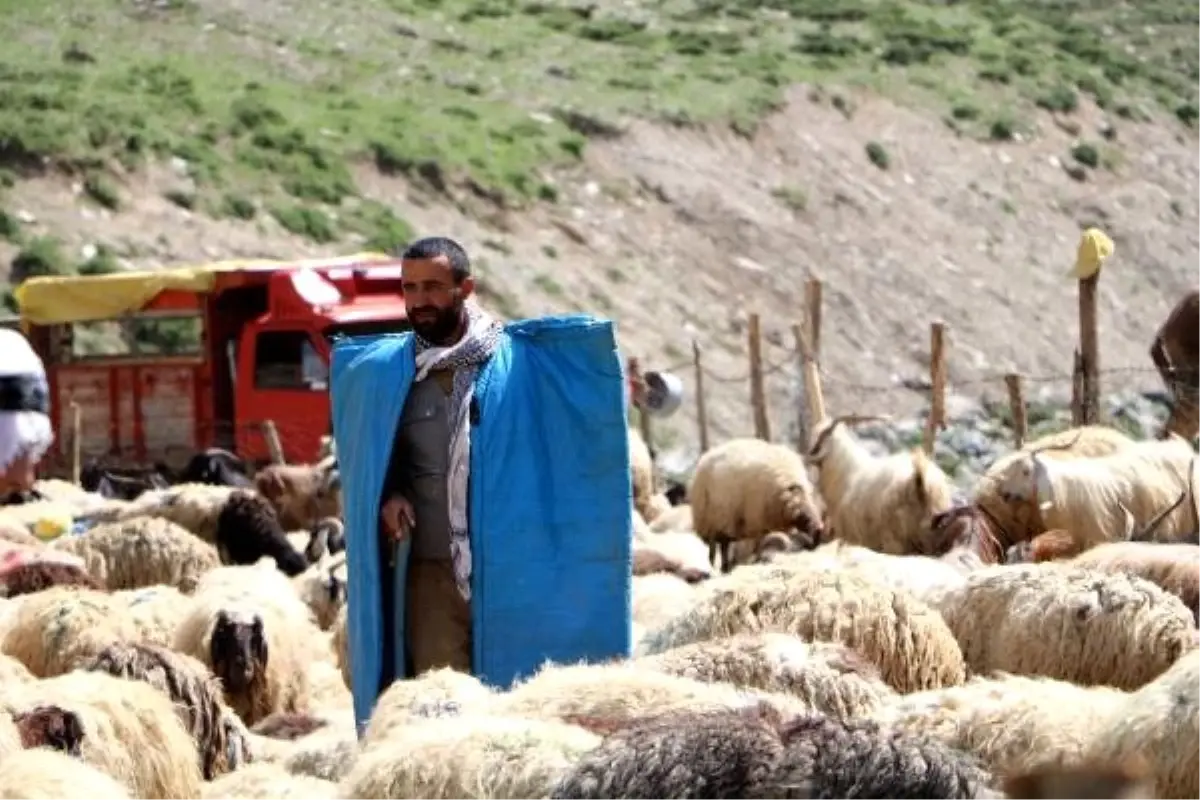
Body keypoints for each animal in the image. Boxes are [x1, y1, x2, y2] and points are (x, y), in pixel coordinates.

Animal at [806, 417, 955, 554]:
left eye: (820, 438)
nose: (807, 456)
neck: (846, 472)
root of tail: (921, 479)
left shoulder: (851, 536)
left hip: (895, 538)